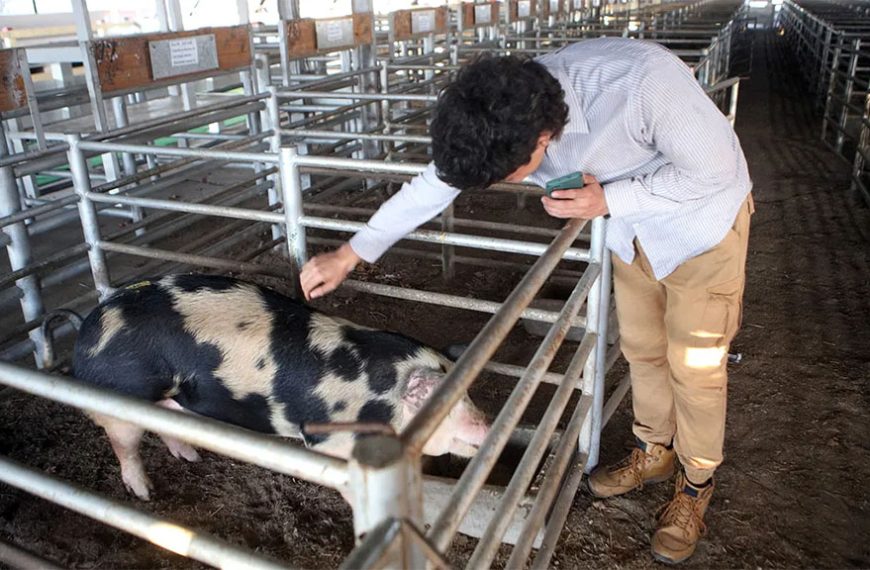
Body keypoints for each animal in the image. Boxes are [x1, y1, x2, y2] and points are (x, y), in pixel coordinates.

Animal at [74, 274, 490, 496]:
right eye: (451, 403)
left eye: (470, 392)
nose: (486, 426)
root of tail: (89, 328)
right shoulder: (330, 439)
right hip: (121, 398)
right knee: (125, 445)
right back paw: (145, 494)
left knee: (165, 424)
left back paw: (192, 457)